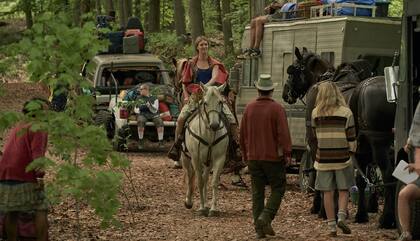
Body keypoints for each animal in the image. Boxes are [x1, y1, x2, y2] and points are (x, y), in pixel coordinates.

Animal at [181, 83, 228, 217]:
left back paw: (206, 205)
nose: (215, 125)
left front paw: (213, 209)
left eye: (220, 102)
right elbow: (199, 181)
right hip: (186, 158)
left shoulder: (219, 159)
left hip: (208, 162)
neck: (209, 134)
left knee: (205, 178)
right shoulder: (196, 158)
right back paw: (189, 201)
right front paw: (201, 208)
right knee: (190, 175)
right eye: (205, 103)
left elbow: (213, 182)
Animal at [282, 47, 398, 230]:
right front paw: (357, 213)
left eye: (292, 70)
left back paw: (386, 219)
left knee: (388, 174)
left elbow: (319, 174)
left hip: (379, 144)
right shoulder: (356, 150)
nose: (285, 93)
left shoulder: (316, 143)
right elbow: (358, 179)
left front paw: (320, 208)